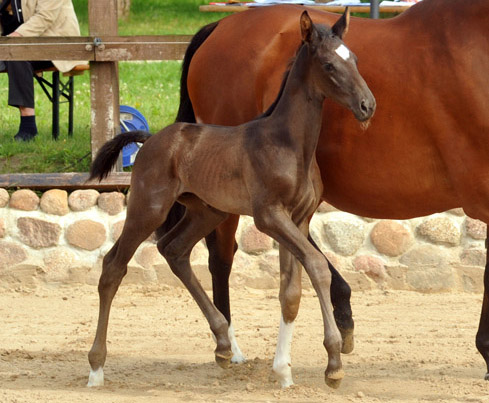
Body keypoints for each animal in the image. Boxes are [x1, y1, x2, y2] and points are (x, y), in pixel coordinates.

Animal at [86, 11, 374, 390]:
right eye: (328, 64)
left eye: (353, 59)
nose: (367, 105)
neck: (289, 143)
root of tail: (149, 139)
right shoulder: (270, 216)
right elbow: (317, 266)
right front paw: (333, 364)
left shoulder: (298, 219)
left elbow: (291, 292)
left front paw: (284, 371)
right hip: (148, 209)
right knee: (113, 267)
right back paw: (96, 368)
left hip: (207, 211)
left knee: (173, 249)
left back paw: (223, 343)